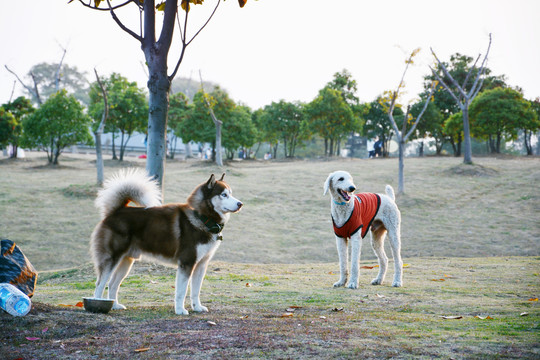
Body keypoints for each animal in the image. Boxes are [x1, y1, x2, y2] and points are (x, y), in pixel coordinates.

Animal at [89, 170, 242, 314]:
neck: (203, 218)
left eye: (231, 194)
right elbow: (181, 291)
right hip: (112, 259)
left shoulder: (201, 265)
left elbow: (195, 291)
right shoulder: (186, 263)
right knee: (100, 284)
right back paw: (97, 306)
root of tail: (116, 211)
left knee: (113, 284)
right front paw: (180, 310)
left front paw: (197, 307)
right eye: (223, 195)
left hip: (126, 261)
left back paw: (114, 305)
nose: (240, 204)